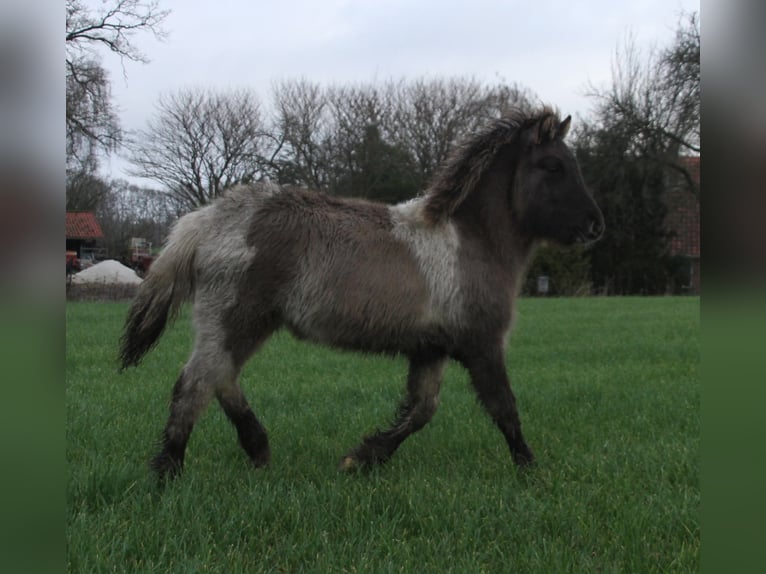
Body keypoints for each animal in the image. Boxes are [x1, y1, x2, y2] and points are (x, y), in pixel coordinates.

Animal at [120, 106, 604, 481]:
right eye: (553, 166)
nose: (596, 225)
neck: (470, 240)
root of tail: (207, 219)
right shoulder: (482, 344)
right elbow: (504, 408)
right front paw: (530, 470)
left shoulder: (430, 348)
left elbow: (420, 410)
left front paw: (361, 458)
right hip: (233, 319)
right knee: (195, 383)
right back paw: (168, 471)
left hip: (248, 324)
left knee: (220, 379)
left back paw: (257, 449)